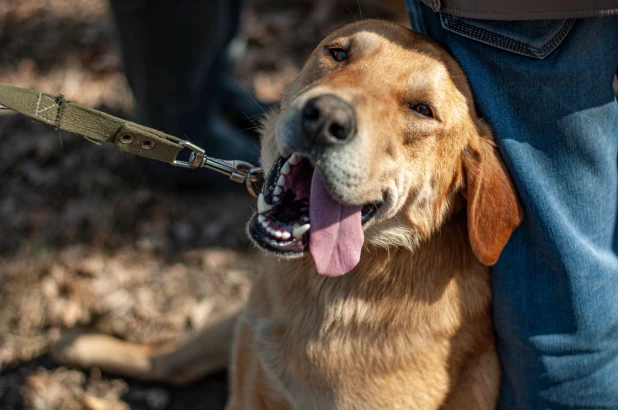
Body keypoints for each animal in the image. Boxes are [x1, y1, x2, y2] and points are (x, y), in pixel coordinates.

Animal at [55, 20, 524, 408]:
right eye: (339, 53)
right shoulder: (251, 386)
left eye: (422, 109)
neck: (328, 288)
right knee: (168, 360)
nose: (326, 117)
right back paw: (77, 344)